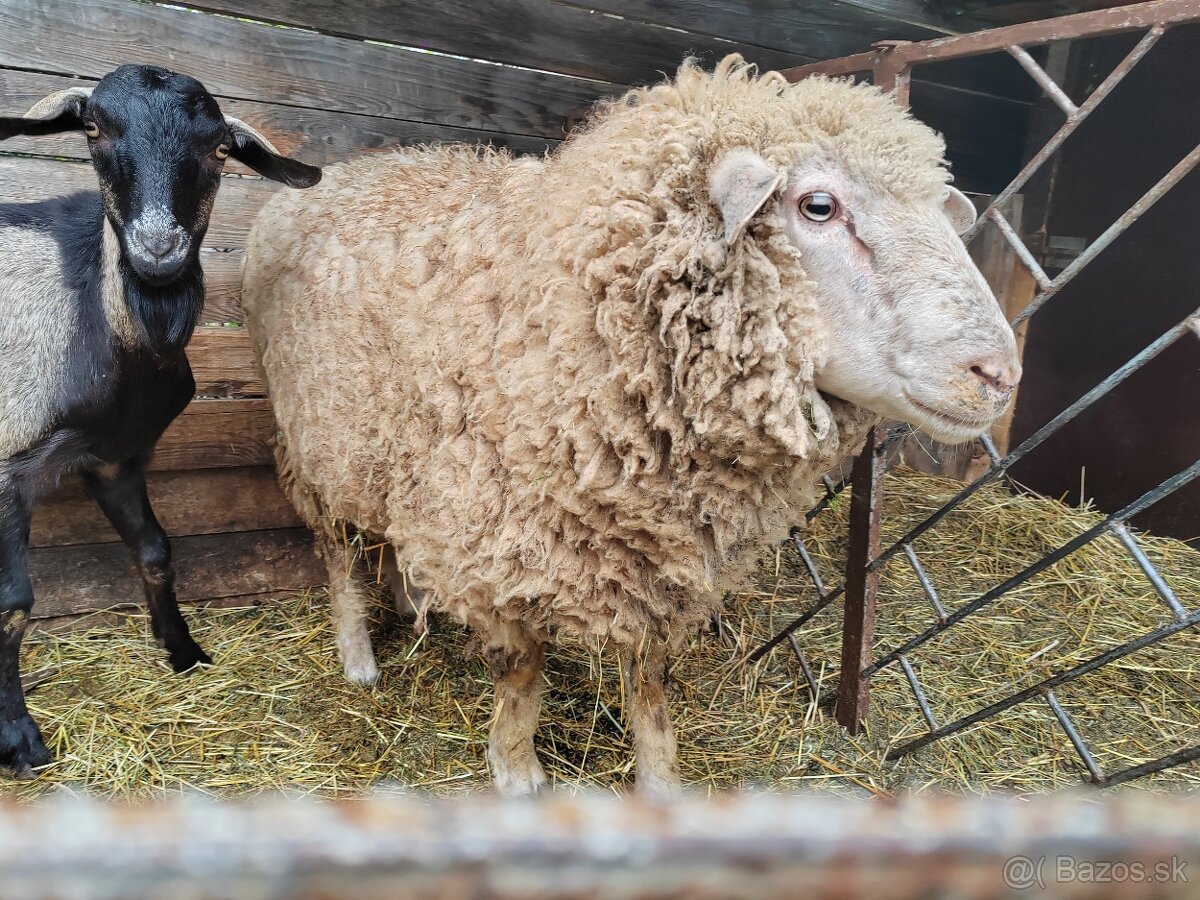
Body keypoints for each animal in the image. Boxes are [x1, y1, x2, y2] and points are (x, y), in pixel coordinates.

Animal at [0, 65, 324, 777]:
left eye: (221, 149)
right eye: (94, 129)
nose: (157, 248)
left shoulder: (113, 456)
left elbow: (155, 550)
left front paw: (184, 650)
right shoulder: (5, 466)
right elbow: (11, 605)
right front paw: (18, 739)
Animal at [243, 56, 1022, 796]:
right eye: (819, 206)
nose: (999, 374)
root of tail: (339, 173)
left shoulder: (649, 558)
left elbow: (650, 685)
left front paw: (659, 778)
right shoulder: (499, 541)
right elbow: (521, 673)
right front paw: (516, 769)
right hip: (306, 439)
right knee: (335, 552)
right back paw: (358, 658)